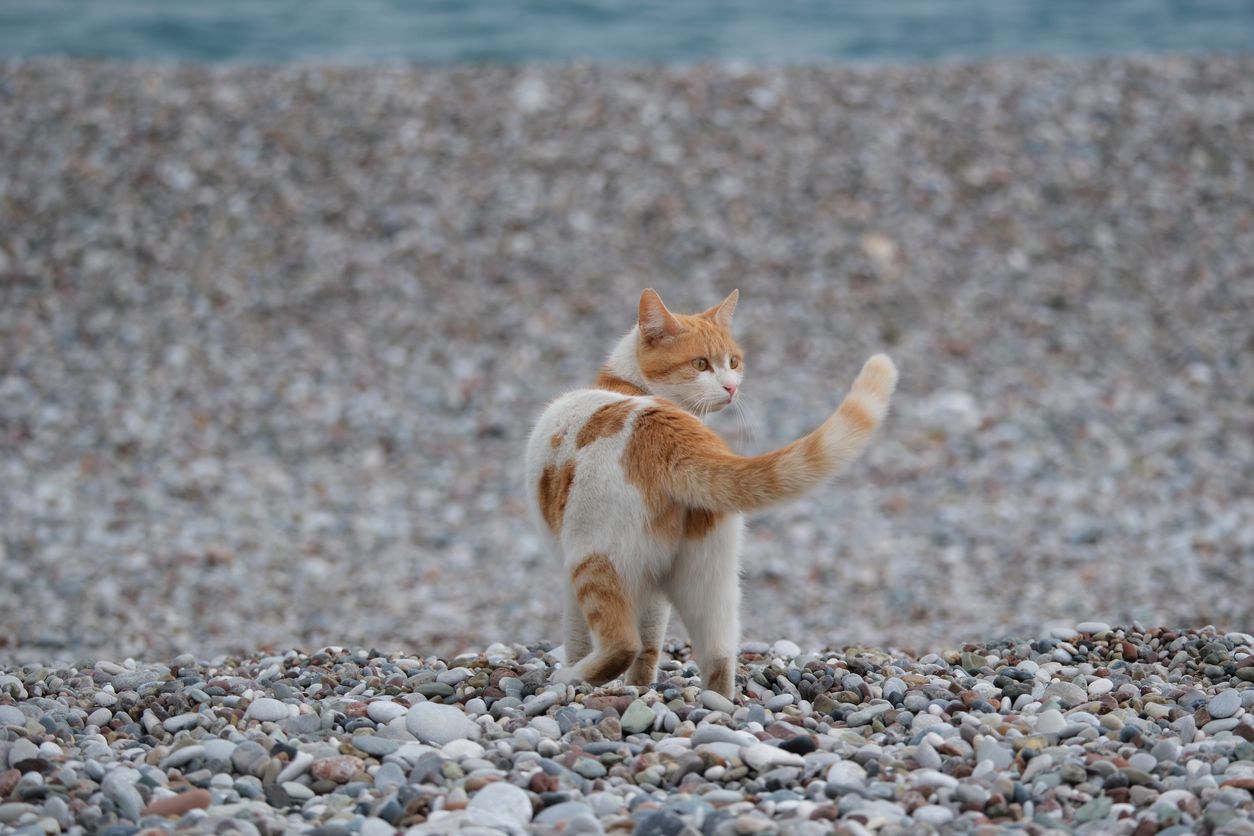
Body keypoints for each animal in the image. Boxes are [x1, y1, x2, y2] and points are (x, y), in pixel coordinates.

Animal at [524, 289, 897, 701]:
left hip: (593, 560)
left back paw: (570, 678)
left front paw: (586, 673)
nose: (731, 387)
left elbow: (580, 638)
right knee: (718, 654)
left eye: (732, 362)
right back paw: (716, 703)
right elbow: (652, 643)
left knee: (621, 644)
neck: (629, 387)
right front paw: (640, 687)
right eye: (701, 364)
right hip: (710, 578)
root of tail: (677, 438)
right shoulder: (654, 592)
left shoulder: (571, 574)